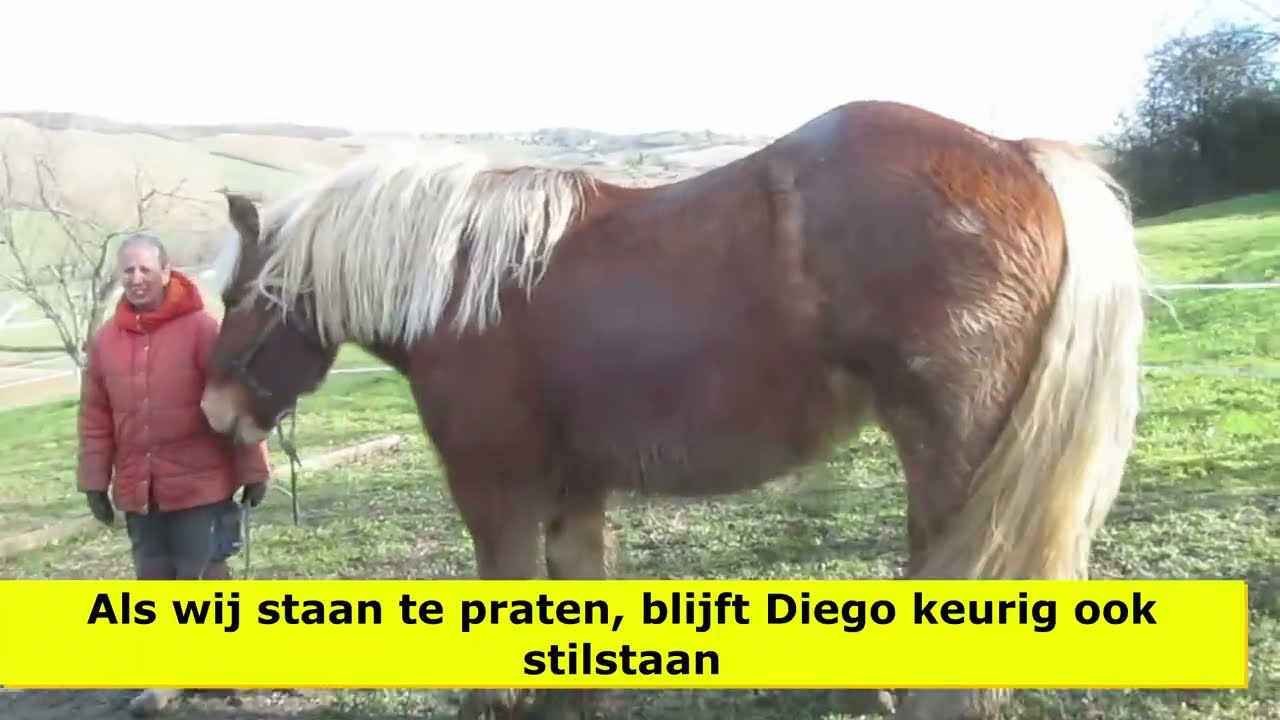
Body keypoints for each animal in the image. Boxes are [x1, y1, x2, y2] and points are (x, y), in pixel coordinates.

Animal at [200, 99, 1146, 720]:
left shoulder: (491, 479)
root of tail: (1012, 151)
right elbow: (570, 583)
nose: (213, 412)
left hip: (954, 446)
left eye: (243, 297)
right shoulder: (572, 481)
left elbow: (506, 580)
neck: (467, 281)